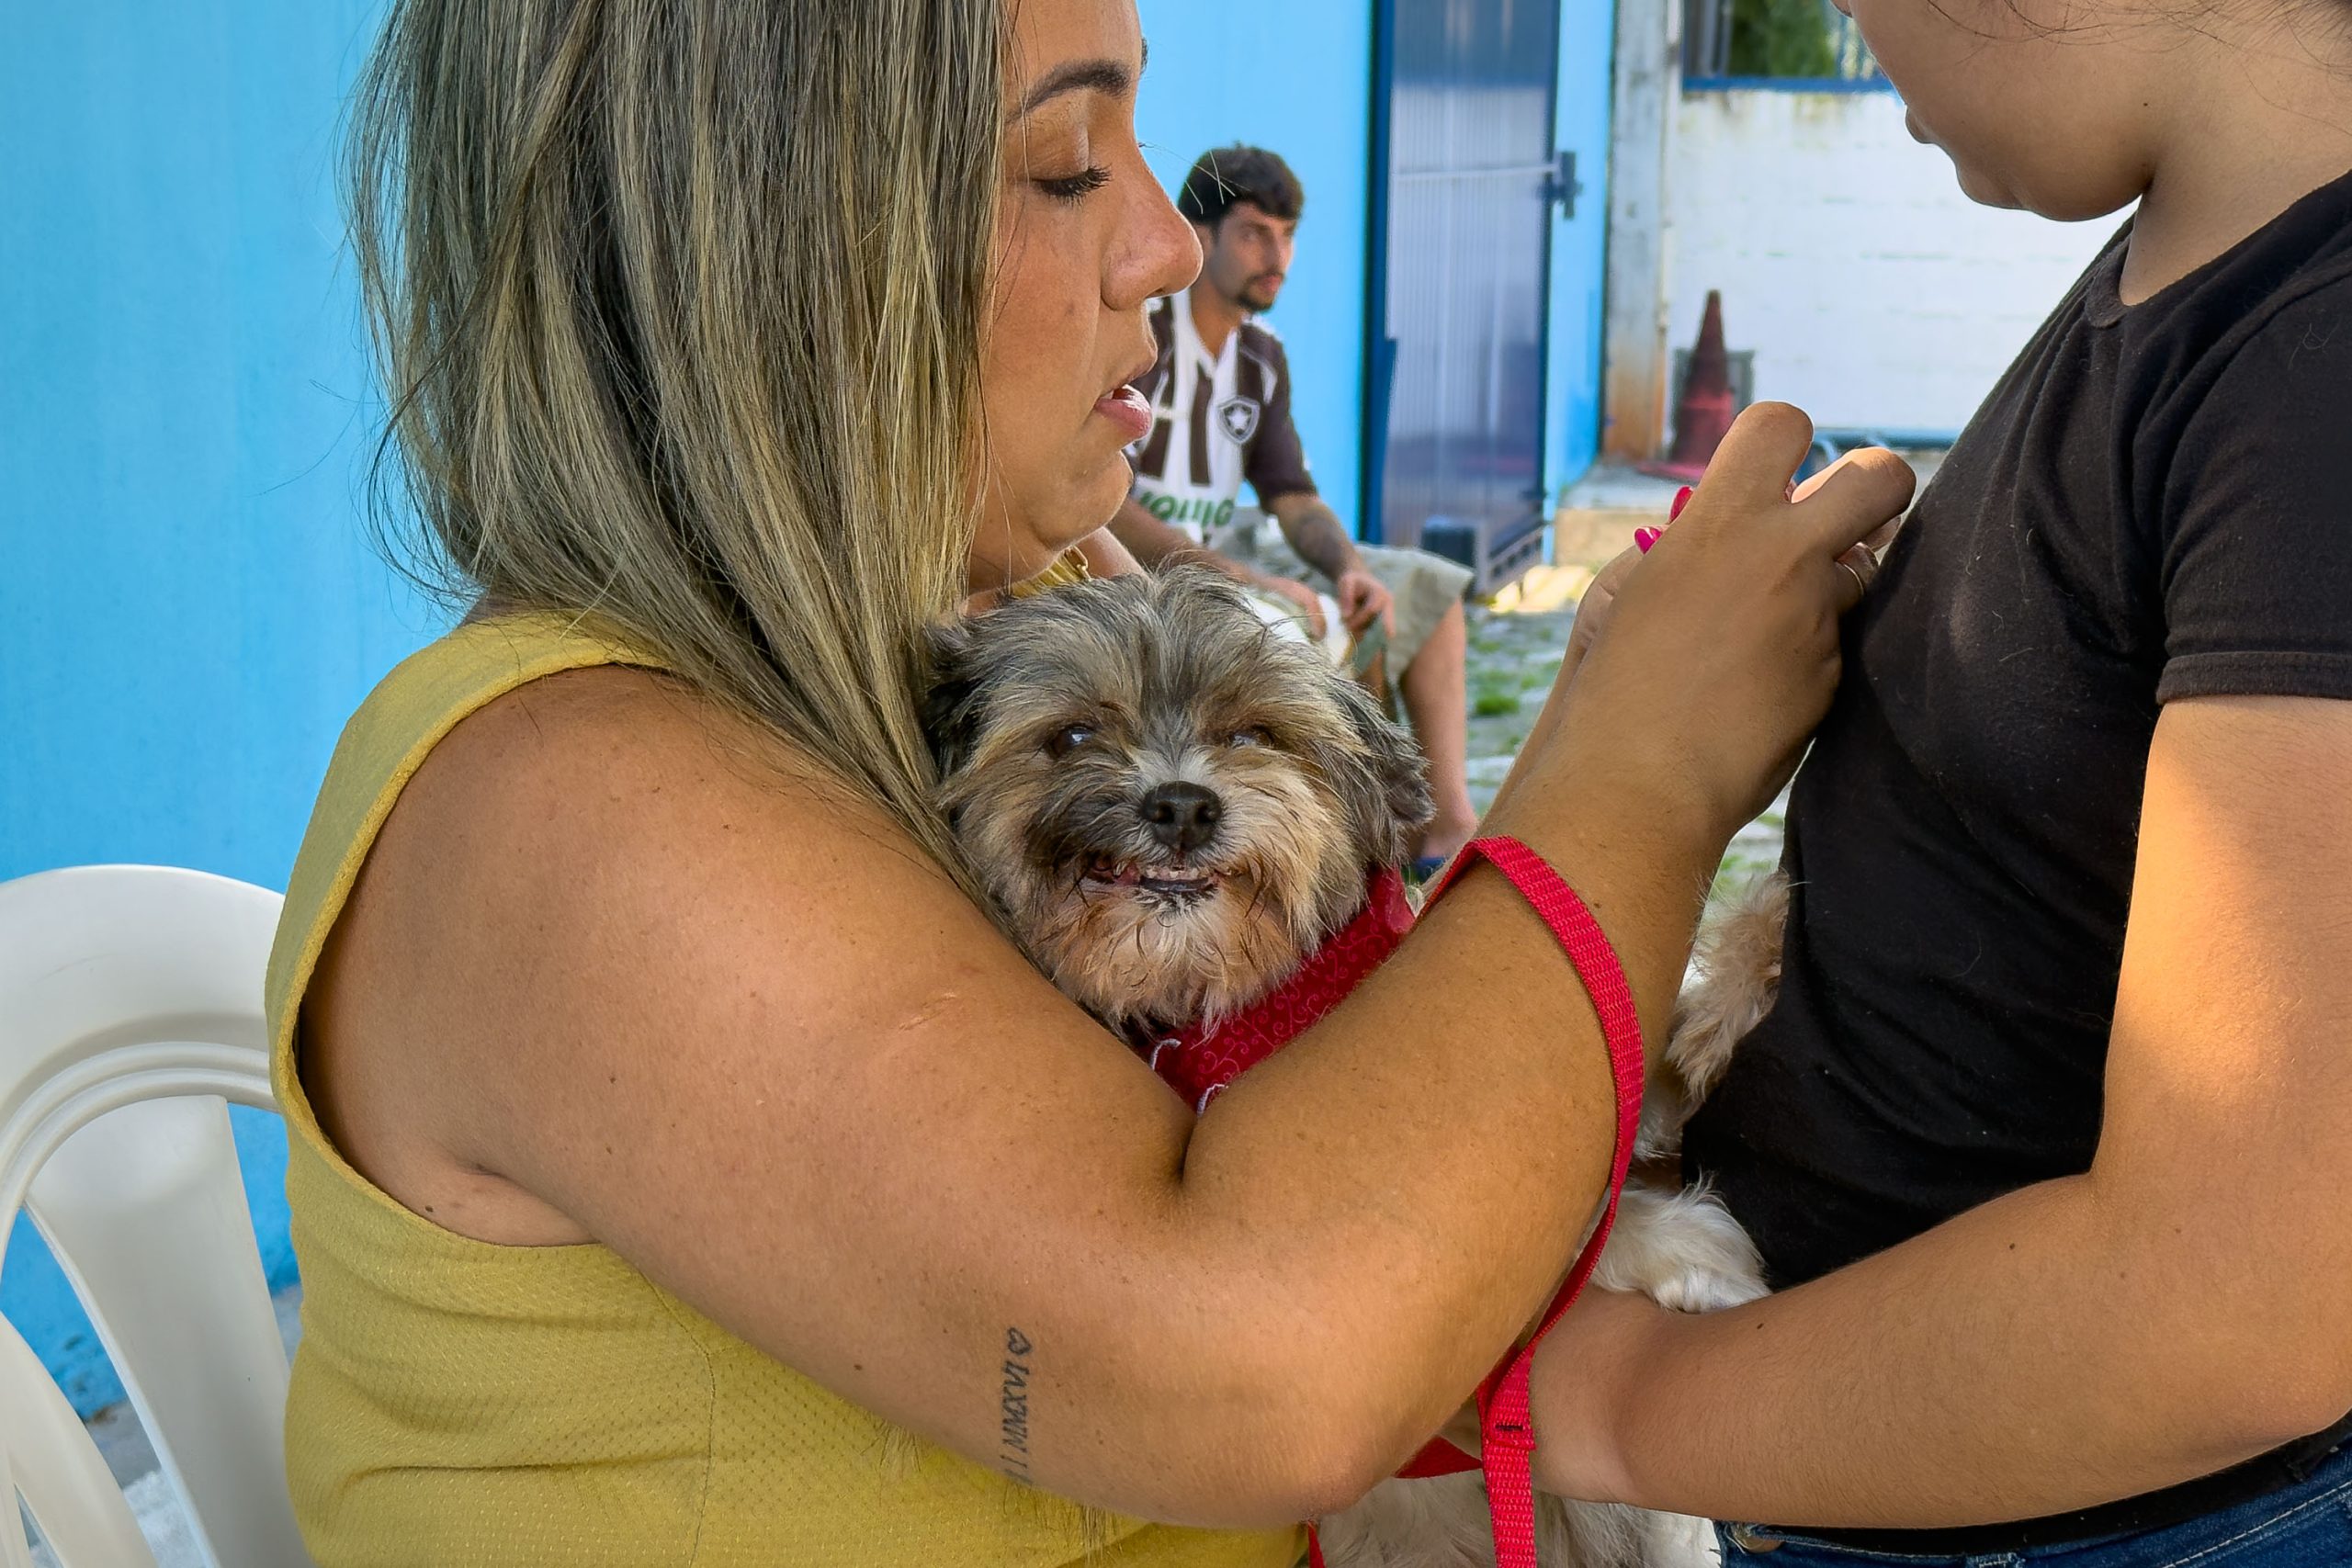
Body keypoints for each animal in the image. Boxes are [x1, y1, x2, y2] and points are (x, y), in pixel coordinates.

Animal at [924, 566, 1783, 1567]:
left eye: (1253, 733)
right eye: (1069, 737)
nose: (1180, 805)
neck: (1266, 1004)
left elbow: (1657, 1066)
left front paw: (1756, 965)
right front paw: (1690, 1247)